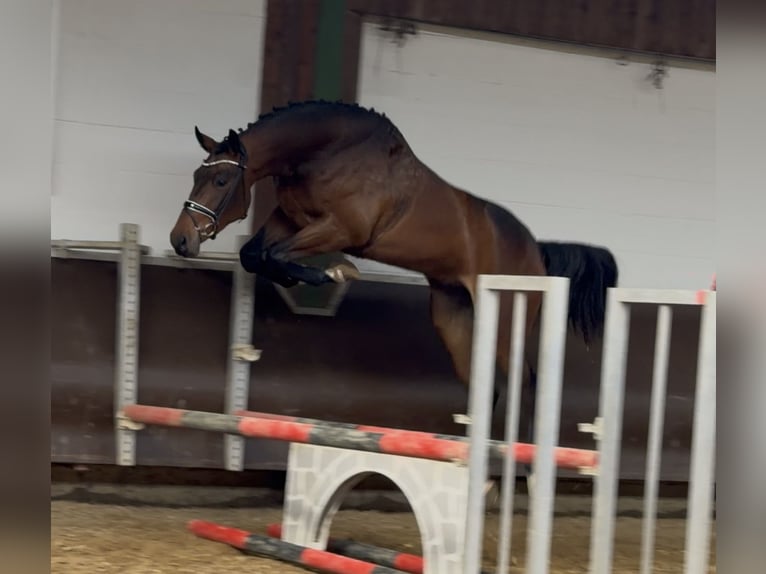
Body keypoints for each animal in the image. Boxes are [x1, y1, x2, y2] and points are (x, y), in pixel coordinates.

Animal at [169, 99, 618, 493]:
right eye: (194, 176)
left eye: (221, 181)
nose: (181, 240)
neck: (324, 153)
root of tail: (535, 249)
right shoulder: (290, 220)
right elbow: (255, 255)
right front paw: (310, 277)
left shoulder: (341, 229)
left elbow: (275, 255)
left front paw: (334, 272)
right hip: (455, 317)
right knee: (486, 385)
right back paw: (478, 472)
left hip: (509, 319)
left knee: (524, 382)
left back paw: (526, 471)